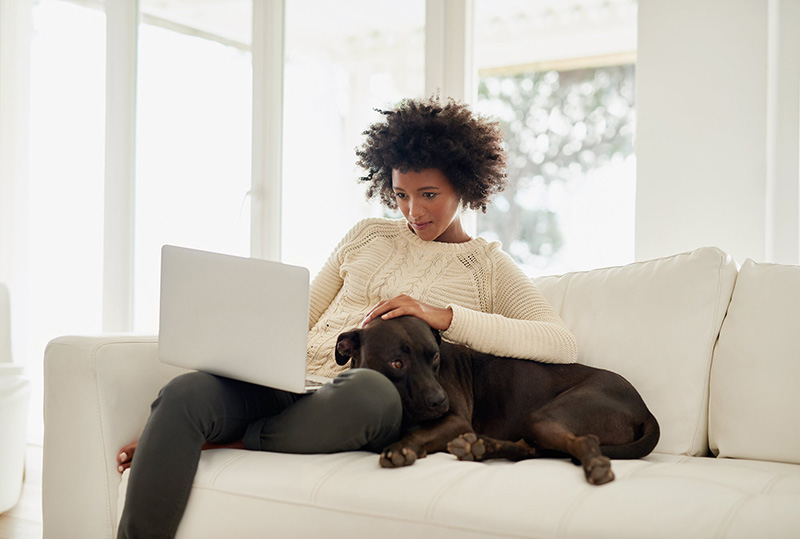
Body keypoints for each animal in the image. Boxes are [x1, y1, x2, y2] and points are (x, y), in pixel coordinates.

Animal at [334, 316, 660, 486]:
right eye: (397, 363)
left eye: (434, 356)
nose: (439, 401)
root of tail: (645, 409)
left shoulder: (455, 422)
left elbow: (419, 433)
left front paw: (401, 448)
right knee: (532, 449)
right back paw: (480, 448)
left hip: (544, 416)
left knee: (581, 442)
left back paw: (596, 466)